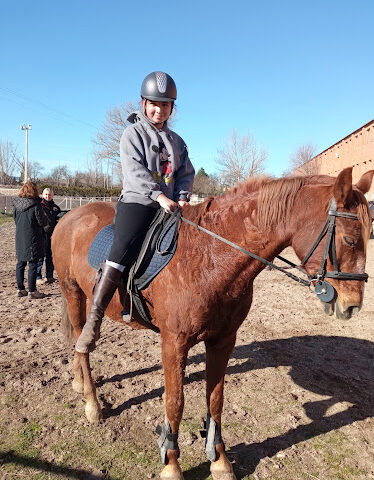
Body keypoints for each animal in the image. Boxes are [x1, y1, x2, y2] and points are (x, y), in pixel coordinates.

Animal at [51, 168, 372, 480]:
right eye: (350, 240)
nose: (351, 306)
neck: (210, 256)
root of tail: (69, 215)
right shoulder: (173, 343)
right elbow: (175, 403)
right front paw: (171, 465)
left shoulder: (223, 340)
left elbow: (215, 399)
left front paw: (218, 460)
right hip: (73, 292)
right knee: (82, 344)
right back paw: (92, 403)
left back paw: (79, 384)